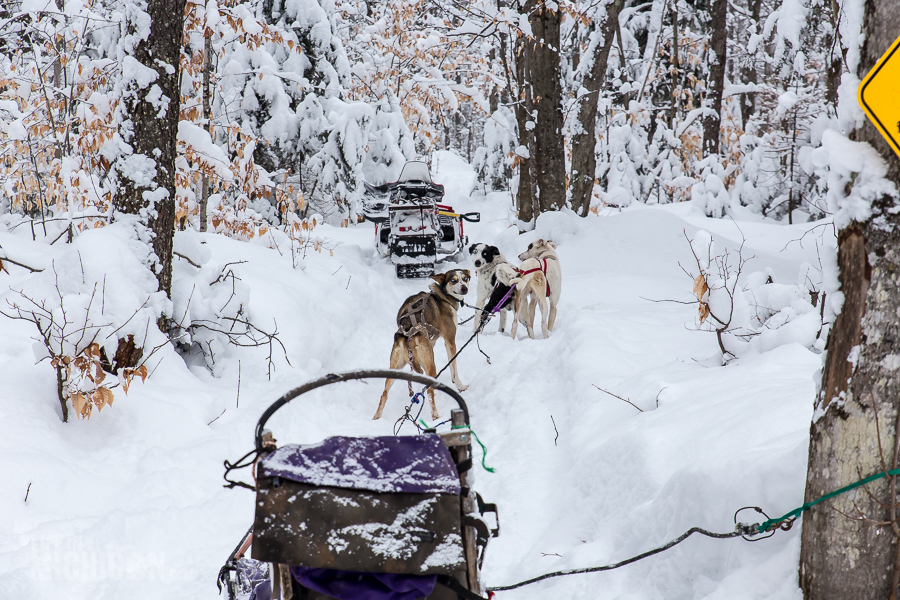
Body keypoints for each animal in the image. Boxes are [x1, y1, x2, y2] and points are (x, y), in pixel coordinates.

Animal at [374, 270, 474, 420]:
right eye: (453, 280)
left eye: (465, 278)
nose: (464, 288)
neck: (442, 296)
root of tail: (407, 334)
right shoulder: (450, 341)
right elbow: (454, 369)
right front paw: (460, 386)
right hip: (430, 365)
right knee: (429, 392)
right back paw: (436, 416)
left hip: (396, 367)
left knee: (384, 394)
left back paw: (376, 418)